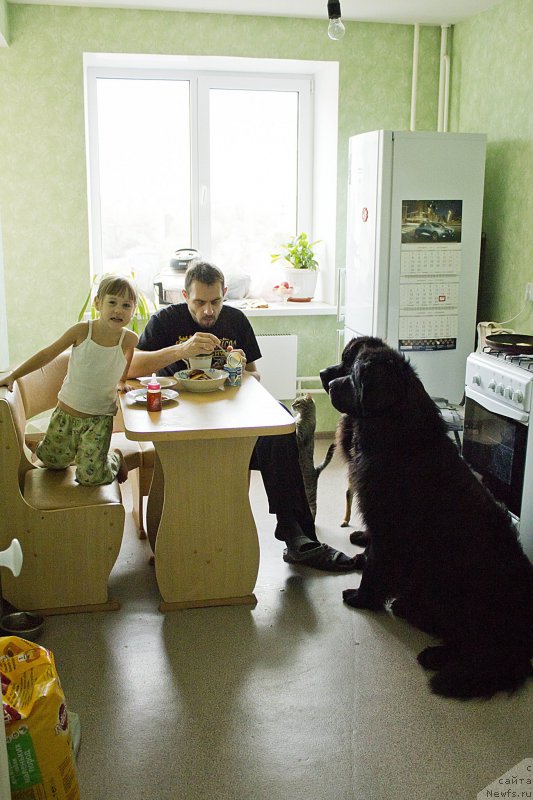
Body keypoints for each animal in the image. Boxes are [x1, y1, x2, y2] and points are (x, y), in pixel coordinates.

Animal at [290, 392, 332, 520]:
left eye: (298, 402)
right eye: (294, 401)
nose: (291, 404)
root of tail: (316, 471)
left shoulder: (300, 437)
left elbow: (297, 429)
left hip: (310, 494)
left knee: (314, 509)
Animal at [320, 338, 532, 700]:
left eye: (355, 375)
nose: (330, 381)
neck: (394, 433)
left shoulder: (388, 524)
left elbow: (376, 564)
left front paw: (362, 598)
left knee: (480, 649)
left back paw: (436, 657)